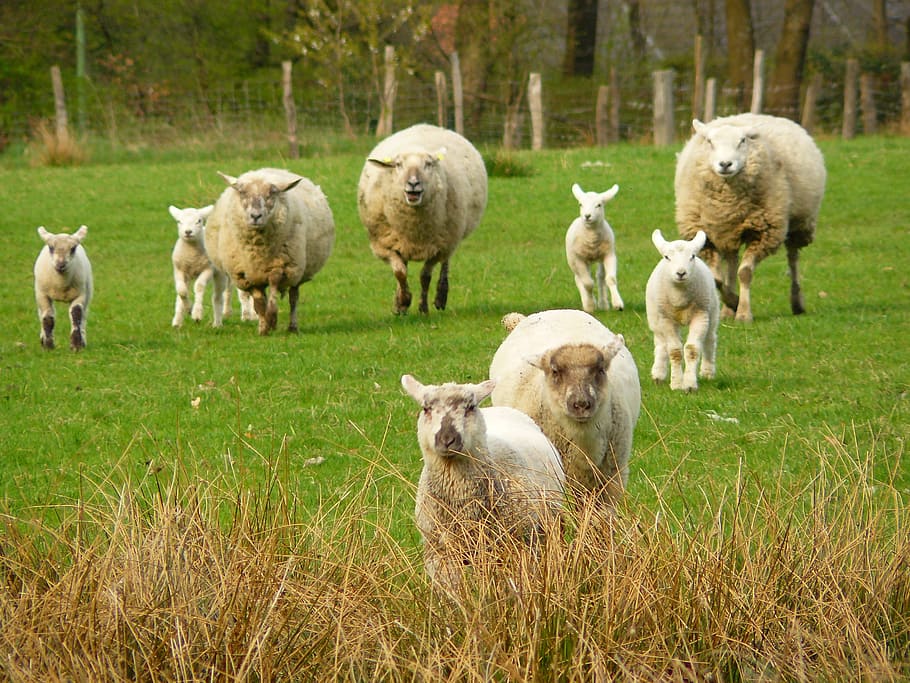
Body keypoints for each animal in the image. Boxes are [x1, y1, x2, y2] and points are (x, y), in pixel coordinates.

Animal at [204, 168, 335, 335]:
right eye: (242, 192)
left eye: (272, 193)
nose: (255, 216)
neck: (258, 251)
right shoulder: (248, 275)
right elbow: (259, 304)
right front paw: (264, 328)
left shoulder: (280, 266)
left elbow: (273, 289)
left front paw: (272, 319)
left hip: (297, 271)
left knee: (294, 298)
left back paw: (293, 327)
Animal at [358, 124, 488, 314]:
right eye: (398, 165)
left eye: (428, 164)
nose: (413, 183)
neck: (414, 229)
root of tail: (428, 126)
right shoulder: (384, 245)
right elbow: (400, 272)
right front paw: (403, 301)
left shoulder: (438, 248)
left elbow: (425, 276)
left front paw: (423, 308)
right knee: (404, 265)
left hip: (451, 237)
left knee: (445, 263)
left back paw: (441, 297)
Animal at [566, 183, 624, 312]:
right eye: (580, 204)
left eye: (599, 205)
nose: (587, 216)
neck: (591, 238)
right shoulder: (579, 259)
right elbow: (588, 283)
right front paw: (591, 305)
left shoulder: (609, 255)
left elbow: (611, 278)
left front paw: (617, 304)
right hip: (573, 260)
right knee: (579, 279)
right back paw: (587, 303)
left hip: (600, 257)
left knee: (600, 277)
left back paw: (603, 304)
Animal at [646, 229, 719, 392]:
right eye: (667, 257)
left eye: (692, 256)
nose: (681, 273)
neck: (679, 298)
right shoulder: (666, 319)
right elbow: (674, 351)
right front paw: (677, 384)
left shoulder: (700, 315)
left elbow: (692, 349)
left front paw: (690, 385)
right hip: (655, 317)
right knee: (661, 343)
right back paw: (658, 374)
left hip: (712, 310)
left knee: (710, 339)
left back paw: (708, 372)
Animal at [674, 113, 826, 322]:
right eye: (710, 142)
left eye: (742, 141)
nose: (725, 164)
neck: (726, 204)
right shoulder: (705, 236)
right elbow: (717, 279)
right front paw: (733, 302)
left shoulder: (764, 232)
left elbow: (744, 272)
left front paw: (743, 312)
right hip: (729, 233)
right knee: (731, 264)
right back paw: (727, 310)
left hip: (800, 223)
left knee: (793, 258)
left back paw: (797, 302)